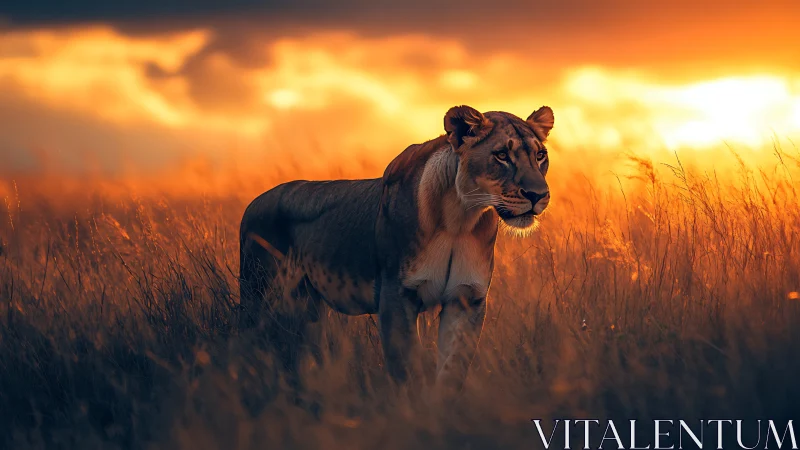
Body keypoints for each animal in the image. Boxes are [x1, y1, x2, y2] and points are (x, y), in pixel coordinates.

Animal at [239, 104, 554, 395]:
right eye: (501, 155)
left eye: (540, 156)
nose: (538, 195)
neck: (459, 219)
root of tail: (253, 203)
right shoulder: (396, 293)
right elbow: (407, 369)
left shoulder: (466, 298)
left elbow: (452, 371)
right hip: (259, 293)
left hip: (308, 304)